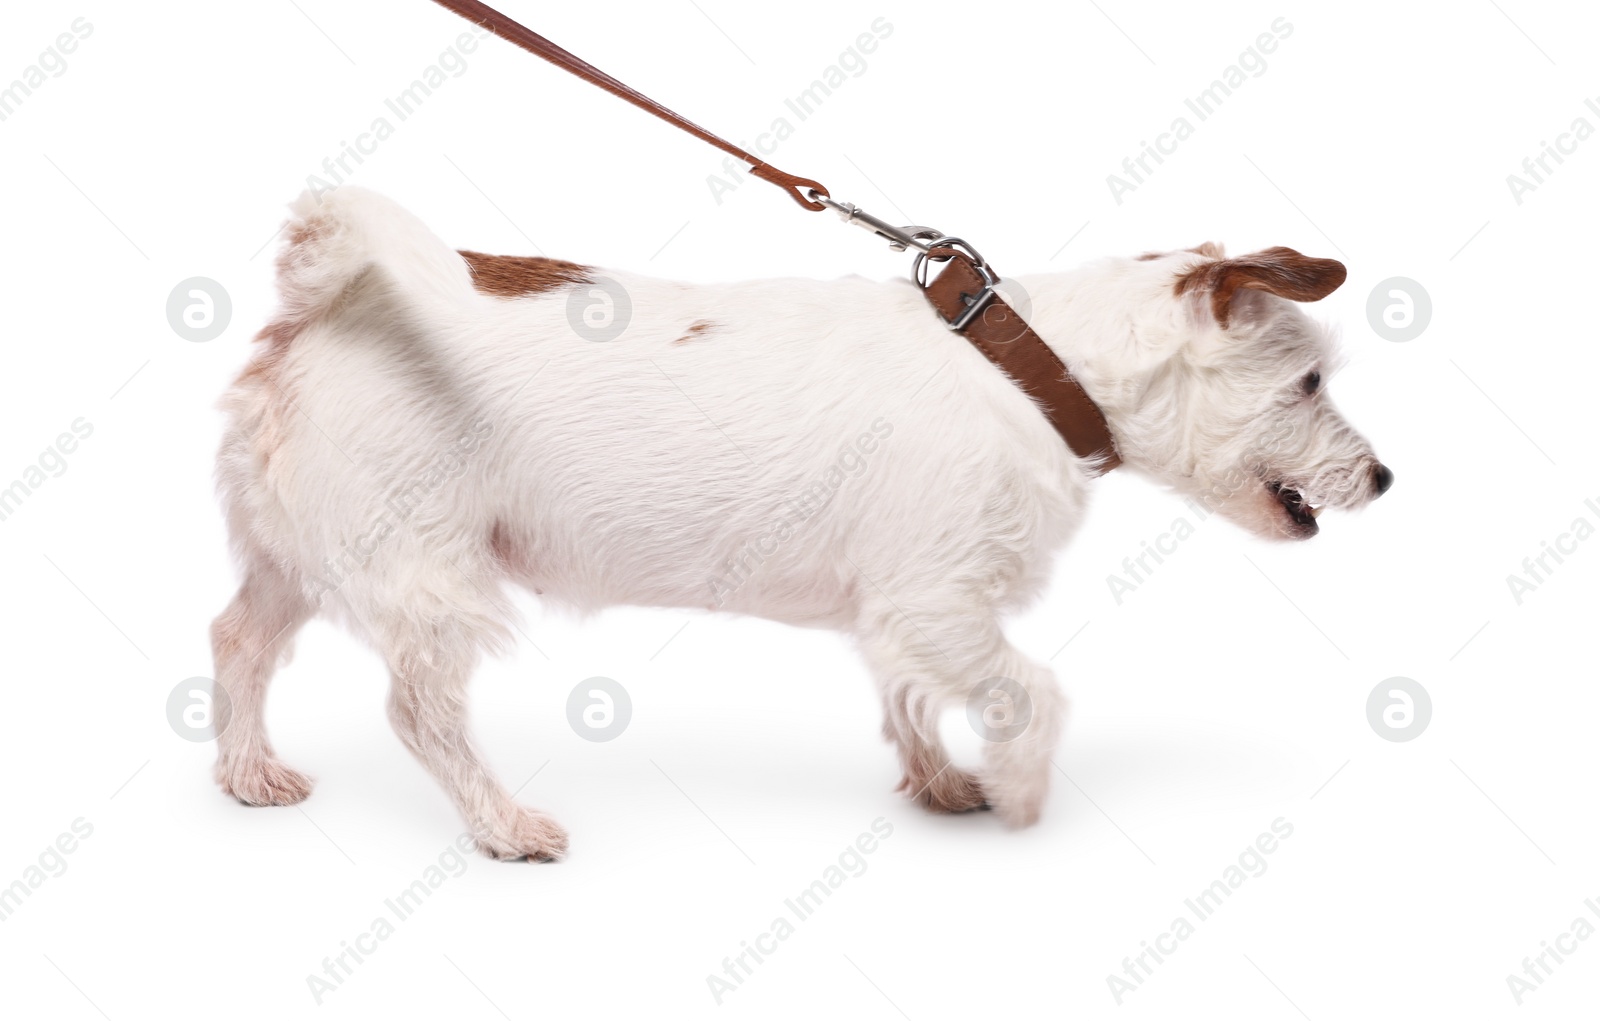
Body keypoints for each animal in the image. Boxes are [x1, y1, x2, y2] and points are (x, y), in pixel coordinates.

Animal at [209, 188, 1388, 857]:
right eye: (1310, 382)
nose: (1383, 477)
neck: (1030, 366)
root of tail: (328, 302)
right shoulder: (940, 602)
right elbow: (1032, 693)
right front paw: (1019, 794)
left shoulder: (906, 615)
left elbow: (908, 696)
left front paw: (940, 781)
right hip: (428, 578)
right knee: (419, 714)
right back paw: (502, 825)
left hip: (288, 559)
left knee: (237, 643)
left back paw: (246, 773)